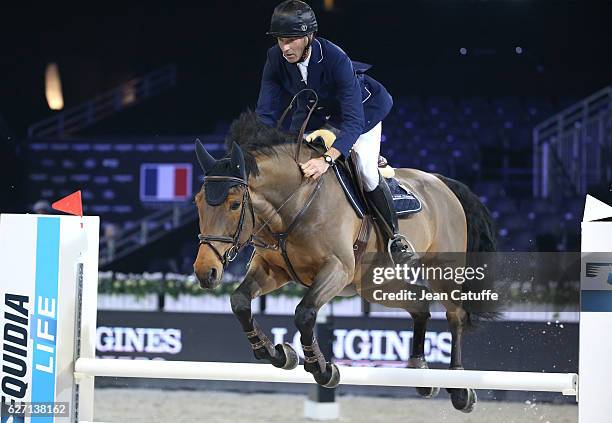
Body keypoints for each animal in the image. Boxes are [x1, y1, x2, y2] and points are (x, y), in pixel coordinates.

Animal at [192, 112, 498, 414]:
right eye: (197, 202)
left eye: (234, 204)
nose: (205, 272)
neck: (297, 202)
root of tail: (440, 181)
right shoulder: (272, 270)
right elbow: (240, 302)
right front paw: (276, 353)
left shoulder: (337, 269)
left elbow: (304, 313)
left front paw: (322, 368)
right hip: (376, 286)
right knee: (419, 305)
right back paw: (421, 373)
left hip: (443, 272)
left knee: (455, 315)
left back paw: (460, 389)